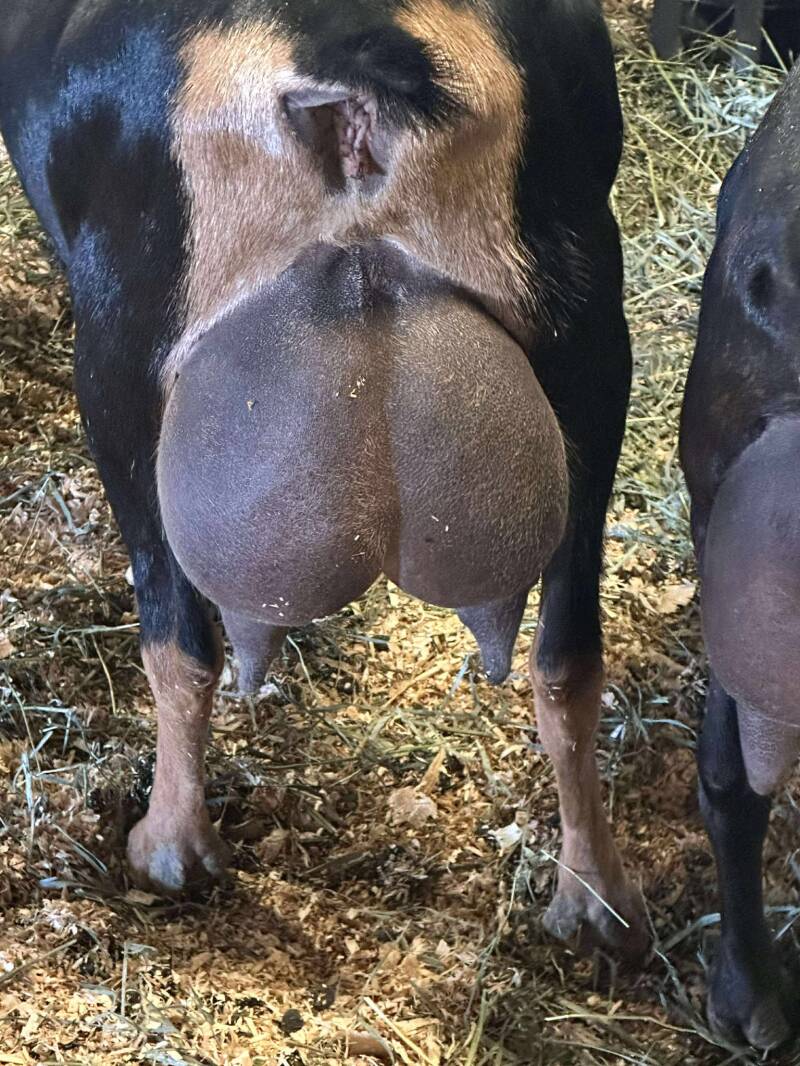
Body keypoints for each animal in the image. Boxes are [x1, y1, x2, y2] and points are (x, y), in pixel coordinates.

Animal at [0, 0, 646, 963]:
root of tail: (345, 76)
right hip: (590, 338)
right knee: (568, 653)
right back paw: (596, 903)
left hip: (123, 346)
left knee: (177, 632)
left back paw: (168, 852)